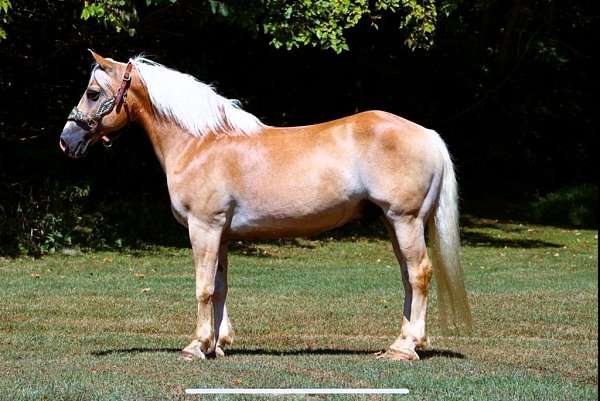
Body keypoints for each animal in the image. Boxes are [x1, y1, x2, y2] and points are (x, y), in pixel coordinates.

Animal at [61, 51, 474, 360]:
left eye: (93, 92)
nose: (67, 139)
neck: (201, 142)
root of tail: (427, 134)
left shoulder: (204, 227)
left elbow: (203, 287)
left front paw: (196, 346)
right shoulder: (220, 233)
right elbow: (220, 286)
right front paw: (217, 344)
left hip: (405, 220)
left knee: (419, 274)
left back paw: (406, 348)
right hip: (394, 223)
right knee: (407, 276)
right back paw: (402, 343)